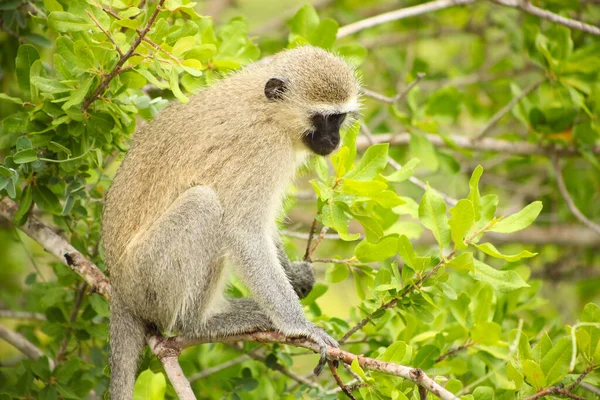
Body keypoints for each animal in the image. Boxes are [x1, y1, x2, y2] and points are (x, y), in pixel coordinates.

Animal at [102, 45, 360, 398]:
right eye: (324, 118)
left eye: (340, 118)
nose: (334, 140)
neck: (269, 111)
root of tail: (118, 286)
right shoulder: (264, 150)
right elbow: (244, 230)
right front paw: (301, 329)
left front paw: (295, 276)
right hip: (146, 279)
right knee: (205, 205)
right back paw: (199, 323)